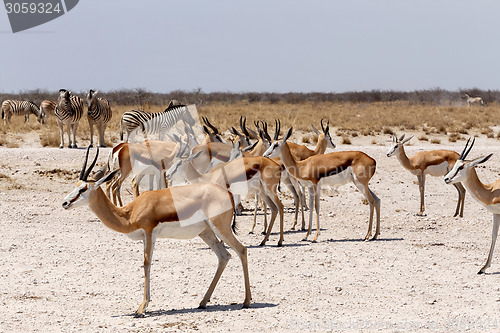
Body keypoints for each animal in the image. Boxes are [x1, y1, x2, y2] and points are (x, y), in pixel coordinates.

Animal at [61, 147, 250, 316]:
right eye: (75, 185)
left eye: (83, 189)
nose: (65, 203)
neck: (130, 213)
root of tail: (227, 194)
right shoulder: (146, 236)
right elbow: (146, 264)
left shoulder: (149, 232)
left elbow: (147, 264)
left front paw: (141, 308)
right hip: (206, 232)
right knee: (224, 256)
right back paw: (203, 302)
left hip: (220, 228)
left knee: (241, 250)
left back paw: (246, 302)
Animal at [444, 139, 498, 274]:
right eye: (455, 164)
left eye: (461, 167)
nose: (446, 178)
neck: (491, 191)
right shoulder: (496, 213)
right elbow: (494, 235)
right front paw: (483, 268)